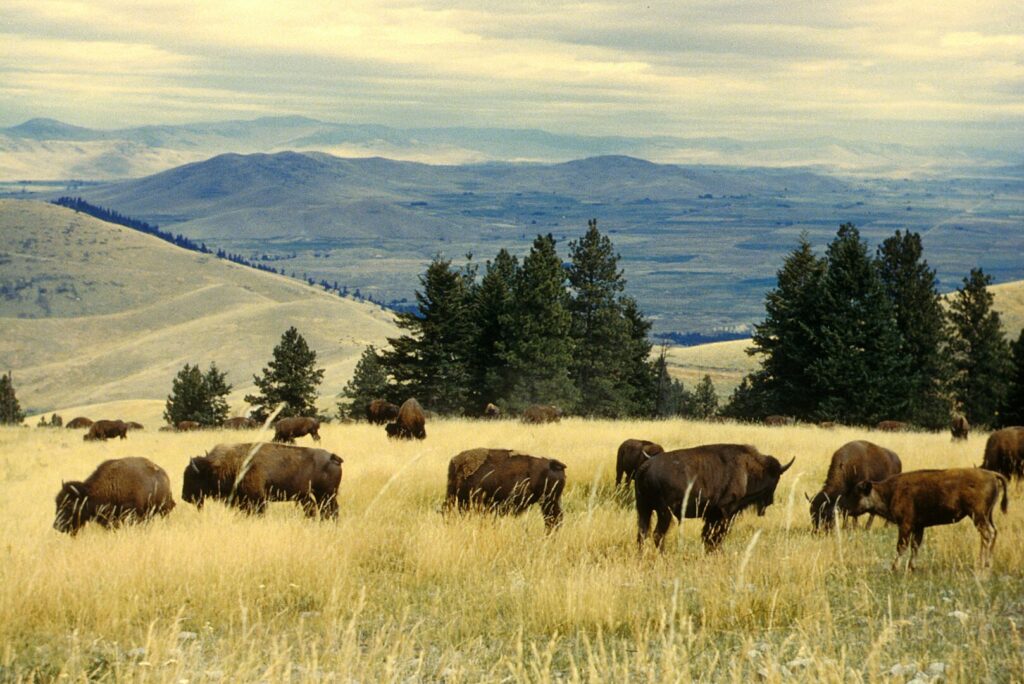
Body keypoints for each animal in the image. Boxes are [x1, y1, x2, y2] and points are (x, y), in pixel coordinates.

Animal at [182, 442, 343, 517]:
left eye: (192, 476)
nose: (184, 497)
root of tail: (332, 457)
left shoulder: (258, 500)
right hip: (313, 496)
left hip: (326, 494)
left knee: (330, 510)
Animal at [635, 444, 794, 552]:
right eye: (775, 479)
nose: (770, 501)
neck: (747, 469)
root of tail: (646, 466)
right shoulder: (725, 512)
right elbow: (717, 536)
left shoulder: (712, 515)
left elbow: (708, 536)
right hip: (664, 513)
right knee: (657, 534)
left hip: (644, 509)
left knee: (642, 533)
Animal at [849, 468, 1008, 571]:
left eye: (858, 493)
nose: (849, 510)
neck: (890, 491)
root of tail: (991, 474)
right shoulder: (919, 527)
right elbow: (915, 546)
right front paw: (911, 567)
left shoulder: (905, 525)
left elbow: (901, 546)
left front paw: (895, 567)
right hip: (987, 515)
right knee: (993, 532)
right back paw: (985, 562)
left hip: (978, 516)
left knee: (988, 534)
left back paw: (984, 563)